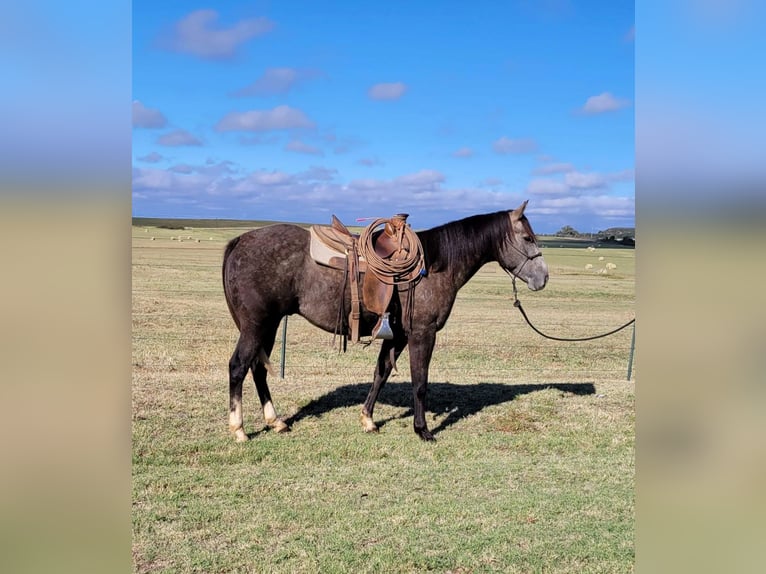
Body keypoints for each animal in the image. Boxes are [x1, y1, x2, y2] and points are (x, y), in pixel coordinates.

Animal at [224, 200, 552, 444]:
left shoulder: (398, 334)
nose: (543, 278)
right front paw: (423, 430)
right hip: (257, 325)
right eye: (527, 238)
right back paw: (239, 429)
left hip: (270, 325)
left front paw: (368, 420)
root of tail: (240, 240)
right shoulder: (423, 333)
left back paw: (275, 421)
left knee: (257, 369)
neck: (435, 264)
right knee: (239, 366)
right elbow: (420, 382)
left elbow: (381, 372)